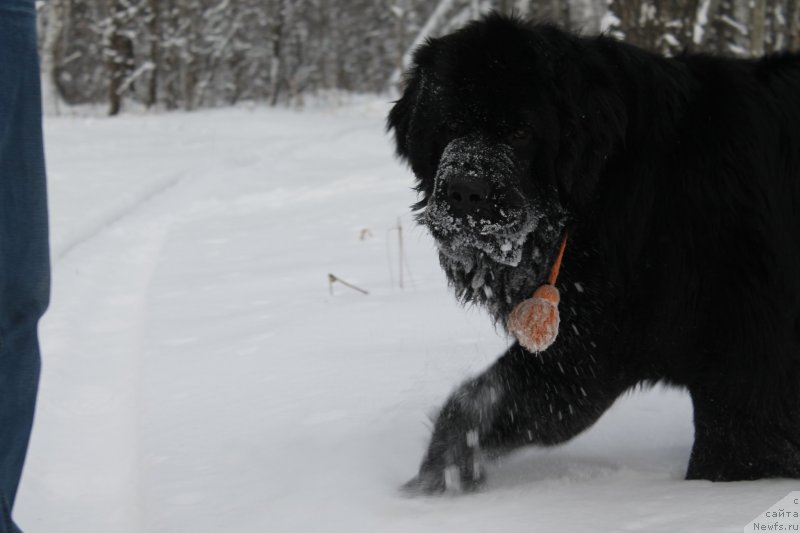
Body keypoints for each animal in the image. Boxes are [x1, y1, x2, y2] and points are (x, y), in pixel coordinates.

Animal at [386, 12, 800, 492]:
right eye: (449, 126)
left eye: (521, 131)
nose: (466, 191)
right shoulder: (591, 335)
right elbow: (484, 401)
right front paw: (433, 483)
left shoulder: (744, 364)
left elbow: (730, 450)